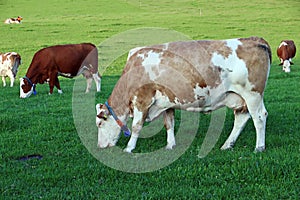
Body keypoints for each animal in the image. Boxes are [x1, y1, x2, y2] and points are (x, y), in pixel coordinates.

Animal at [96, 36, 272, 153]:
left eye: (99, 123)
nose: (99, 146)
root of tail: (255, 39)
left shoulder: (142, 99)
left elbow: (136, 126)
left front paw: (129, 148)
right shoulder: (166, 101)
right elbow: (169, 123)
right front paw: (170, 145)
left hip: (252, 94)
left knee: (259, 117)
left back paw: (259, 147)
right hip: (239, 97)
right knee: (241, 118)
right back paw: (226, 145)